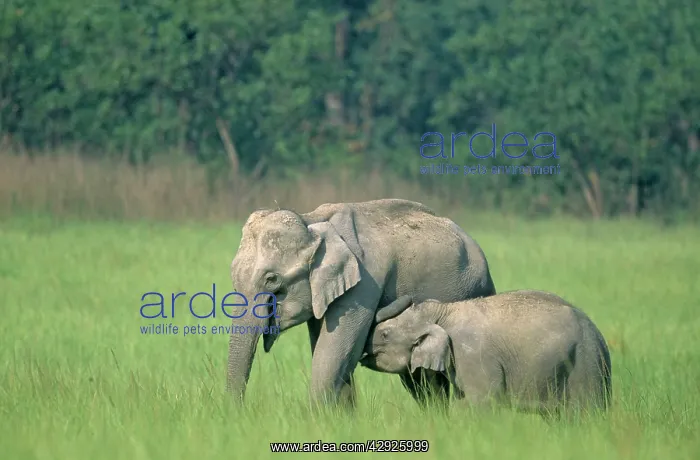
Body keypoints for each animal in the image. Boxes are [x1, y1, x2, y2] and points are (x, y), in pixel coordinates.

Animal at [226, 199, 497, 407]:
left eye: (272, 280)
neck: (311, 220)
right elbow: (334, 353)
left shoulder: (364, 285)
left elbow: (333, 353)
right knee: (417, 377)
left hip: (474, 287)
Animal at [359, 290, 612, 414]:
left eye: (384, 334)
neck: (442, 312)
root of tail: (599, 336)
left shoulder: (473, 355)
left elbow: (483, 402)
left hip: (585, 363)